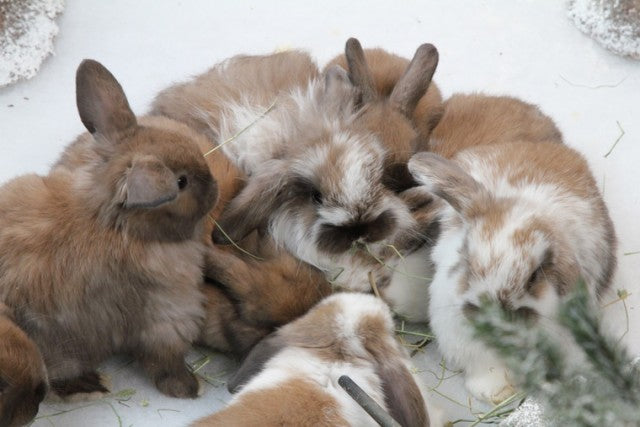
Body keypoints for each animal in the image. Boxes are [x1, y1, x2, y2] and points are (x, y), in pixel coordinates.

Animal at [0, 59, 219, 400]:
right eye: (181, 182)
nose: (216, 189)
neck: (114, 224)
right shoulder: (166, 314)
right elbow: (165, 359)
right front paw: (187, 388)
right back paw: (91, 384)